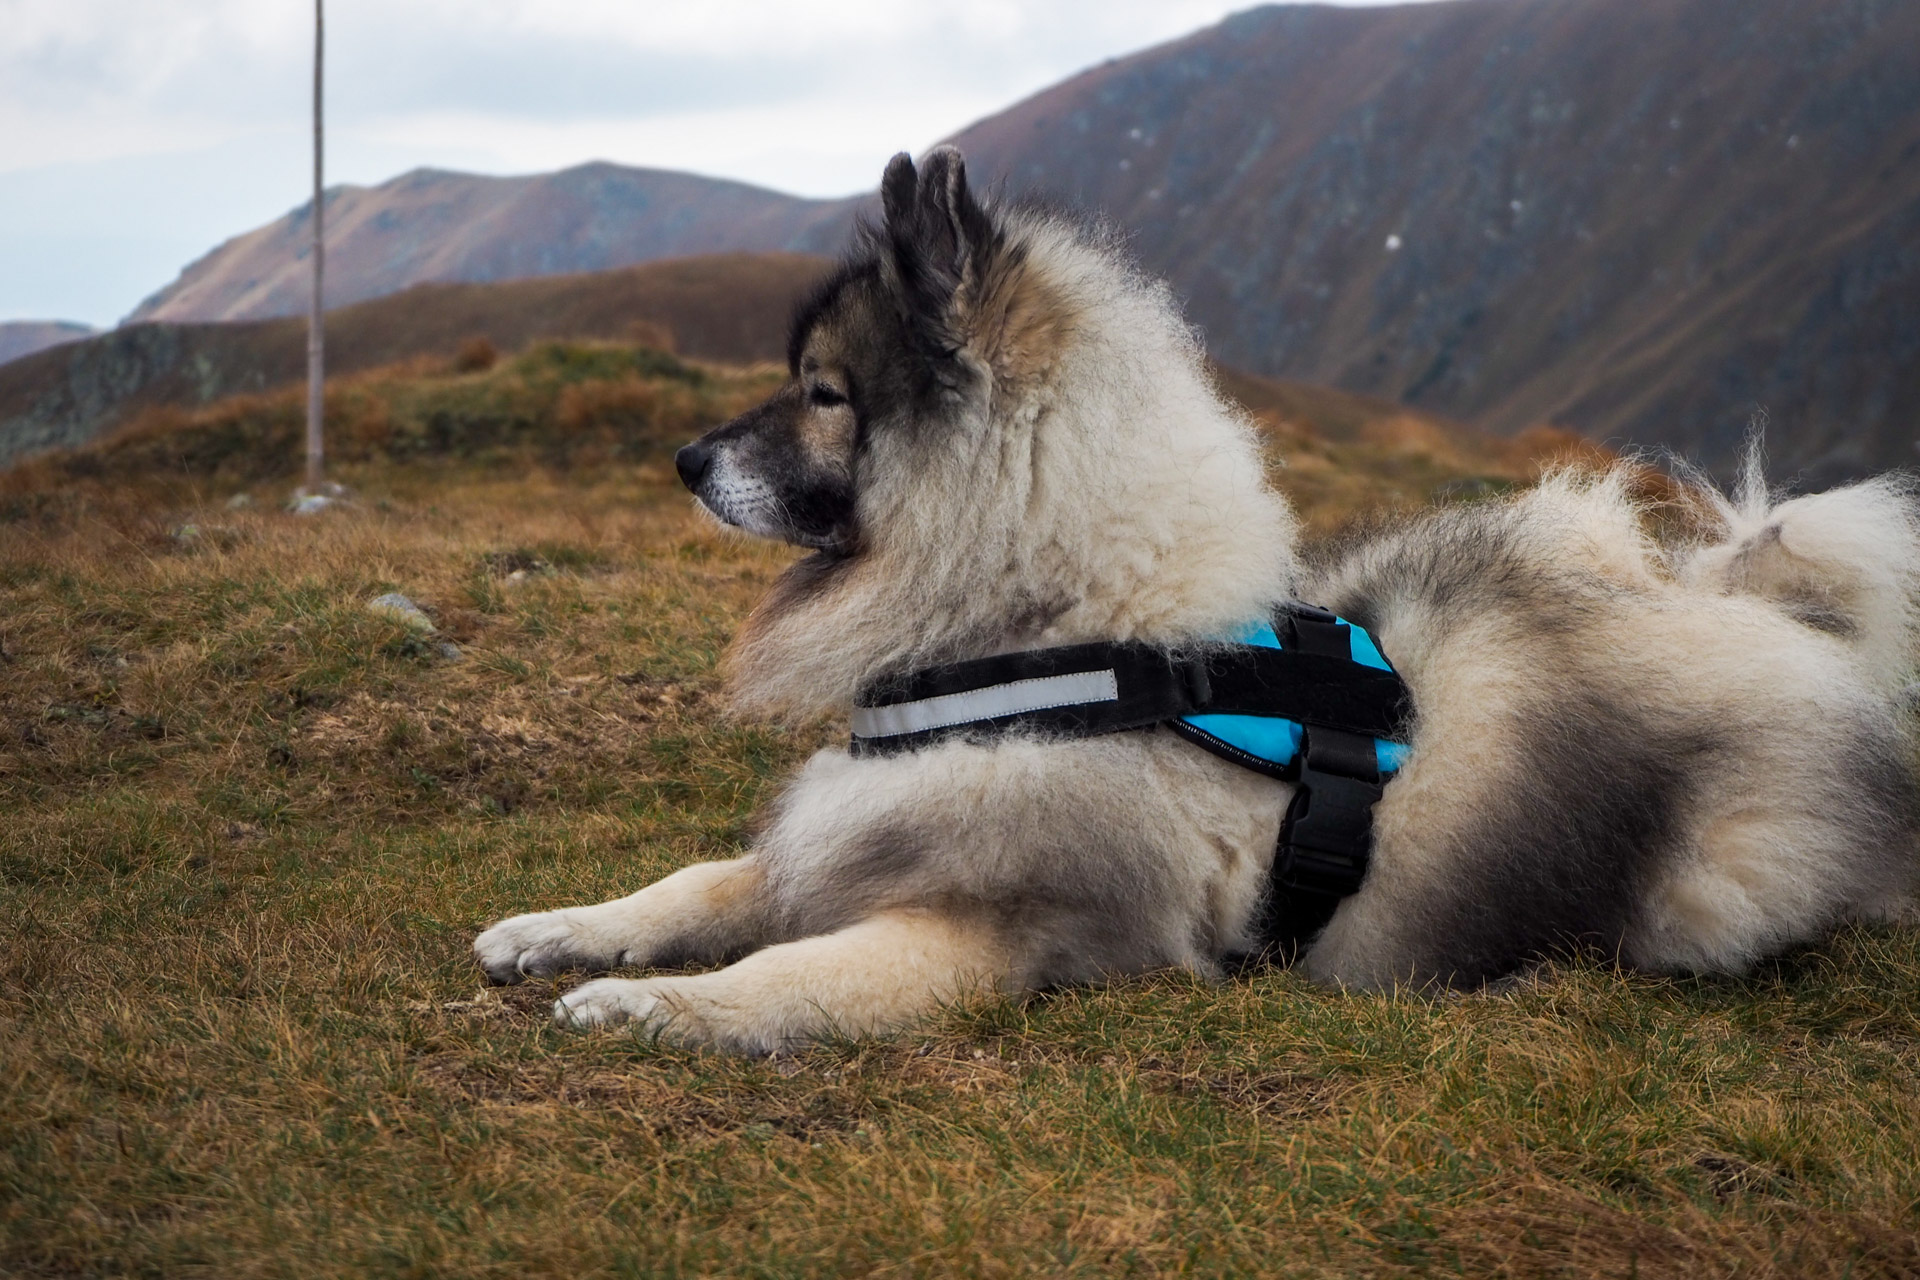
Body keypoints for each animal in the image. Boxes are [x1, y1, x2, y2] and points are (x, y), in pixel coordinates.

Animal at [468, 147, 1920, 1051]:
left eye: (824, 392)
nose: (684, 458)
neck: (1055, 633)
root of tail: (1771, 618)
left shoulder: (989, 929)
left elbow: (788, 969)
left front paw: (658, 1013)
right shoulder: (848, 831)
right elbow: (698, 882)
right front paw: (561, 931)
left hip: (1711, 882)